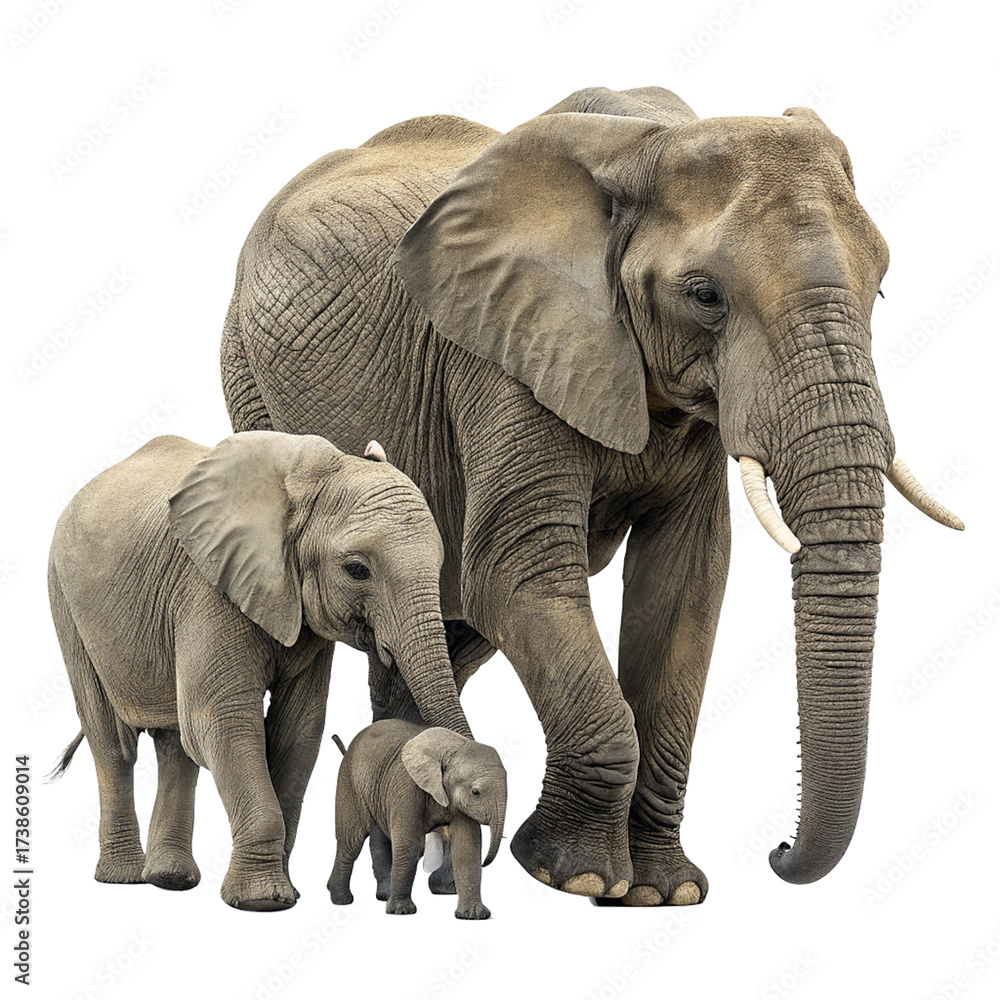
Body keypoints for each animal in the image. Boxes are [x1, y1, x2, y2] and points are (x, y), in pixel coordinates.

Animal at [48, 430, 471, 910]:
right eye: (356, 569)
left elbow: (297, 729)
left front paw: (287, 892)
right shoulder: (207, 586)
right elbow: (224, 720)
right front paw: (262, 901)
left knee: (176, 745)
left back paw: (169, 879)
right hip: (67, 603)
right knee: (113, 742)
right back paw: (123, 879)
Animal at [328, 721, 506, 918]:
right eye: (475, 792)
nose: (486, 863)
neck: (451, 749)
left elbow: (466, 847)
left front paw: (474, 916)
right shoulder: (406, 784)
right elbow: (410, 843)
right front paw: (401, 911)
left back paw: (384, 895)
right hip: (349, 782)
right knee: (351, 842)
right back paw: (341, 899)